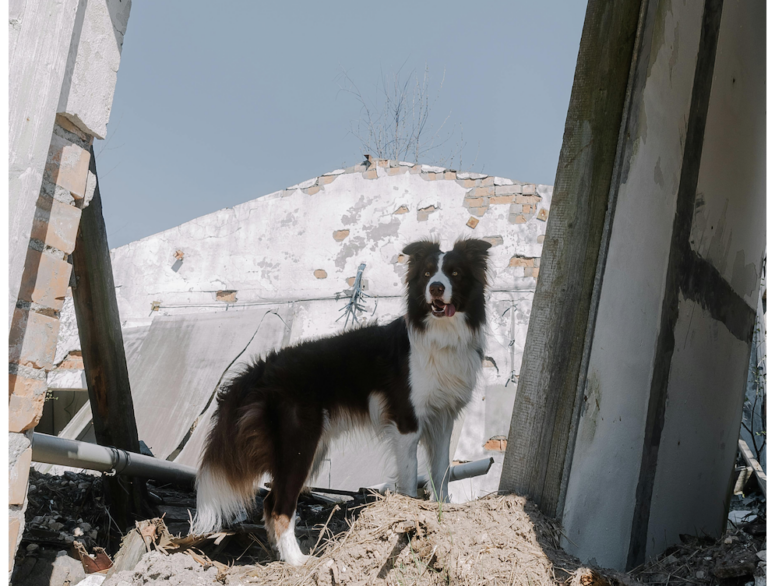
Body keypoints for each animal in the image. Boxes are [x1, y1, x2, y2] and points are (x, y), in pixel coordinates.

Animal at [192, 236, 492, 560]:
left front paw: (443, 511)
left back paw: (281, 554)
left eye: (454, 273)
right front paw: (408, 517)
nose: (435, 288)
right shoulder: (406, 422)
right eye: (426, 274)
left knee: (271, 500)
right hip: (301, 441)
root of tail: (261, 368)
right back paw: (297, 561)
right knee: (279, 504)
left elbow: (442, 471)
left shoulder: (443, 418)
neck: (441, 334)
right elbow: (411, 477)